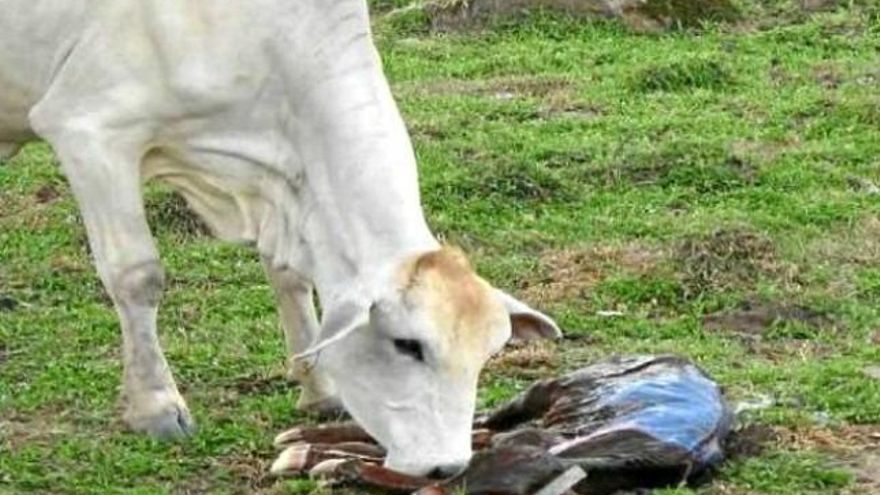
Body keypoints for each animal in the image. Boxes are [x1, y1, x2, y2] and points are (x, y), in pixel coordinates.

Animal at [0, 0, 561, 477]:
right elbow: (137, 275)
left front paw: (319, 387)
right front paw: (156, 406)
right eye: (409, 345)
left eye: (487, 355)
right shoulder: (91, 131)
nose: (446, 467)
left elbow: (288, 276)